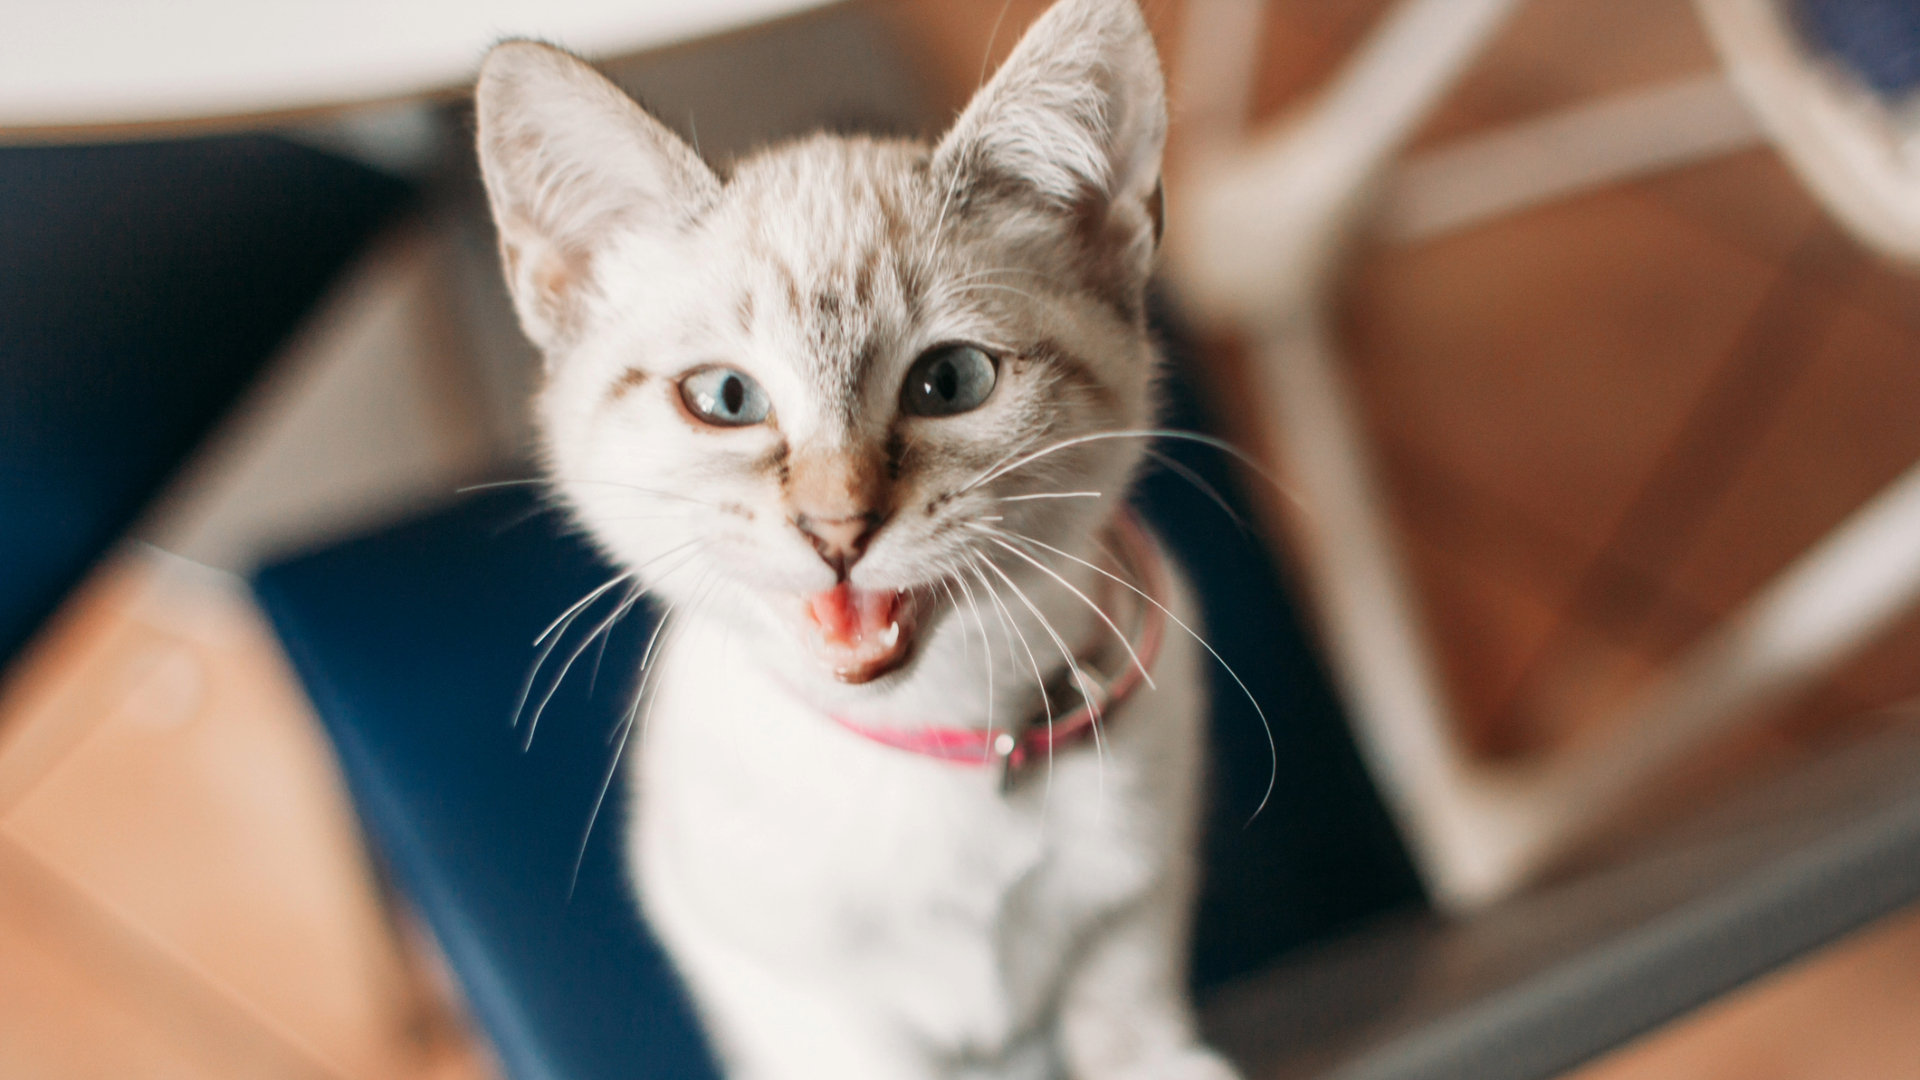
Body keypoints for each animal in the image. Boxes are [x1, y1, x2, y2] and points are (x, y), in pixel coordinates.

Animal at [470, 4, 1236, 1068]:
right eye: (727, 398)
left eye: (950, 382)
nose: (837, 526)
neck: (932, 734)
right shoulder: (769, 971)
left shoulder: (1139, 884)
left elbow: (1121, 1014)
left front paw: (1156, 1058)